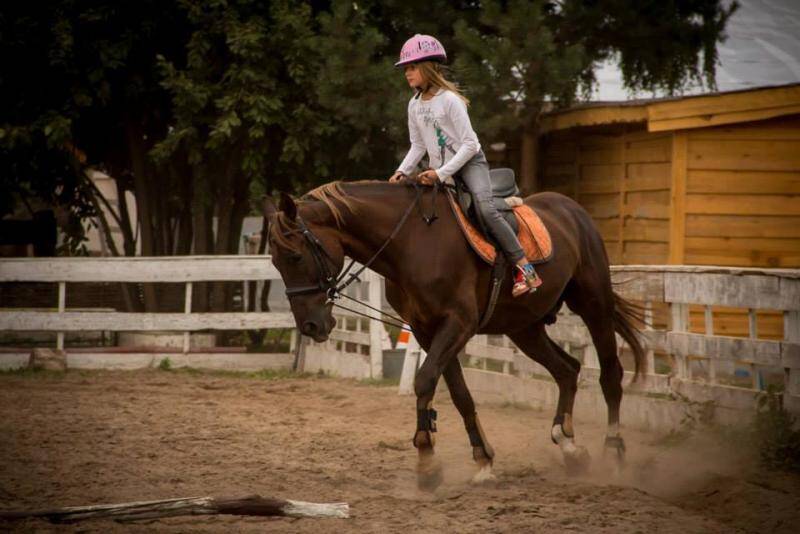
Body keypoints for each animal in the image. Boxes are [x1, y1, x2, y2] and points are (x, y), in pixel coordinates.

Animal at [266, 180, 648, 490]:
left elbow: (424, 380)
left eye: (295, 255)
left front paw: (426, 463)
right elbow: (459, 393)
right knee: (567, 370)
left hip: (594, 304)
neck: (411, 242)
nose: (310, 326)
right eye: (275, 262)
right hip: (524, 328)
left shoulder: (458, 324)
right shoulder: (427, 330)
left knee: (610, 375)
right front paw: (482, 459)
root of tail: (572, 209)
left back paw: (613, 453)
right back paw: (569, 447)